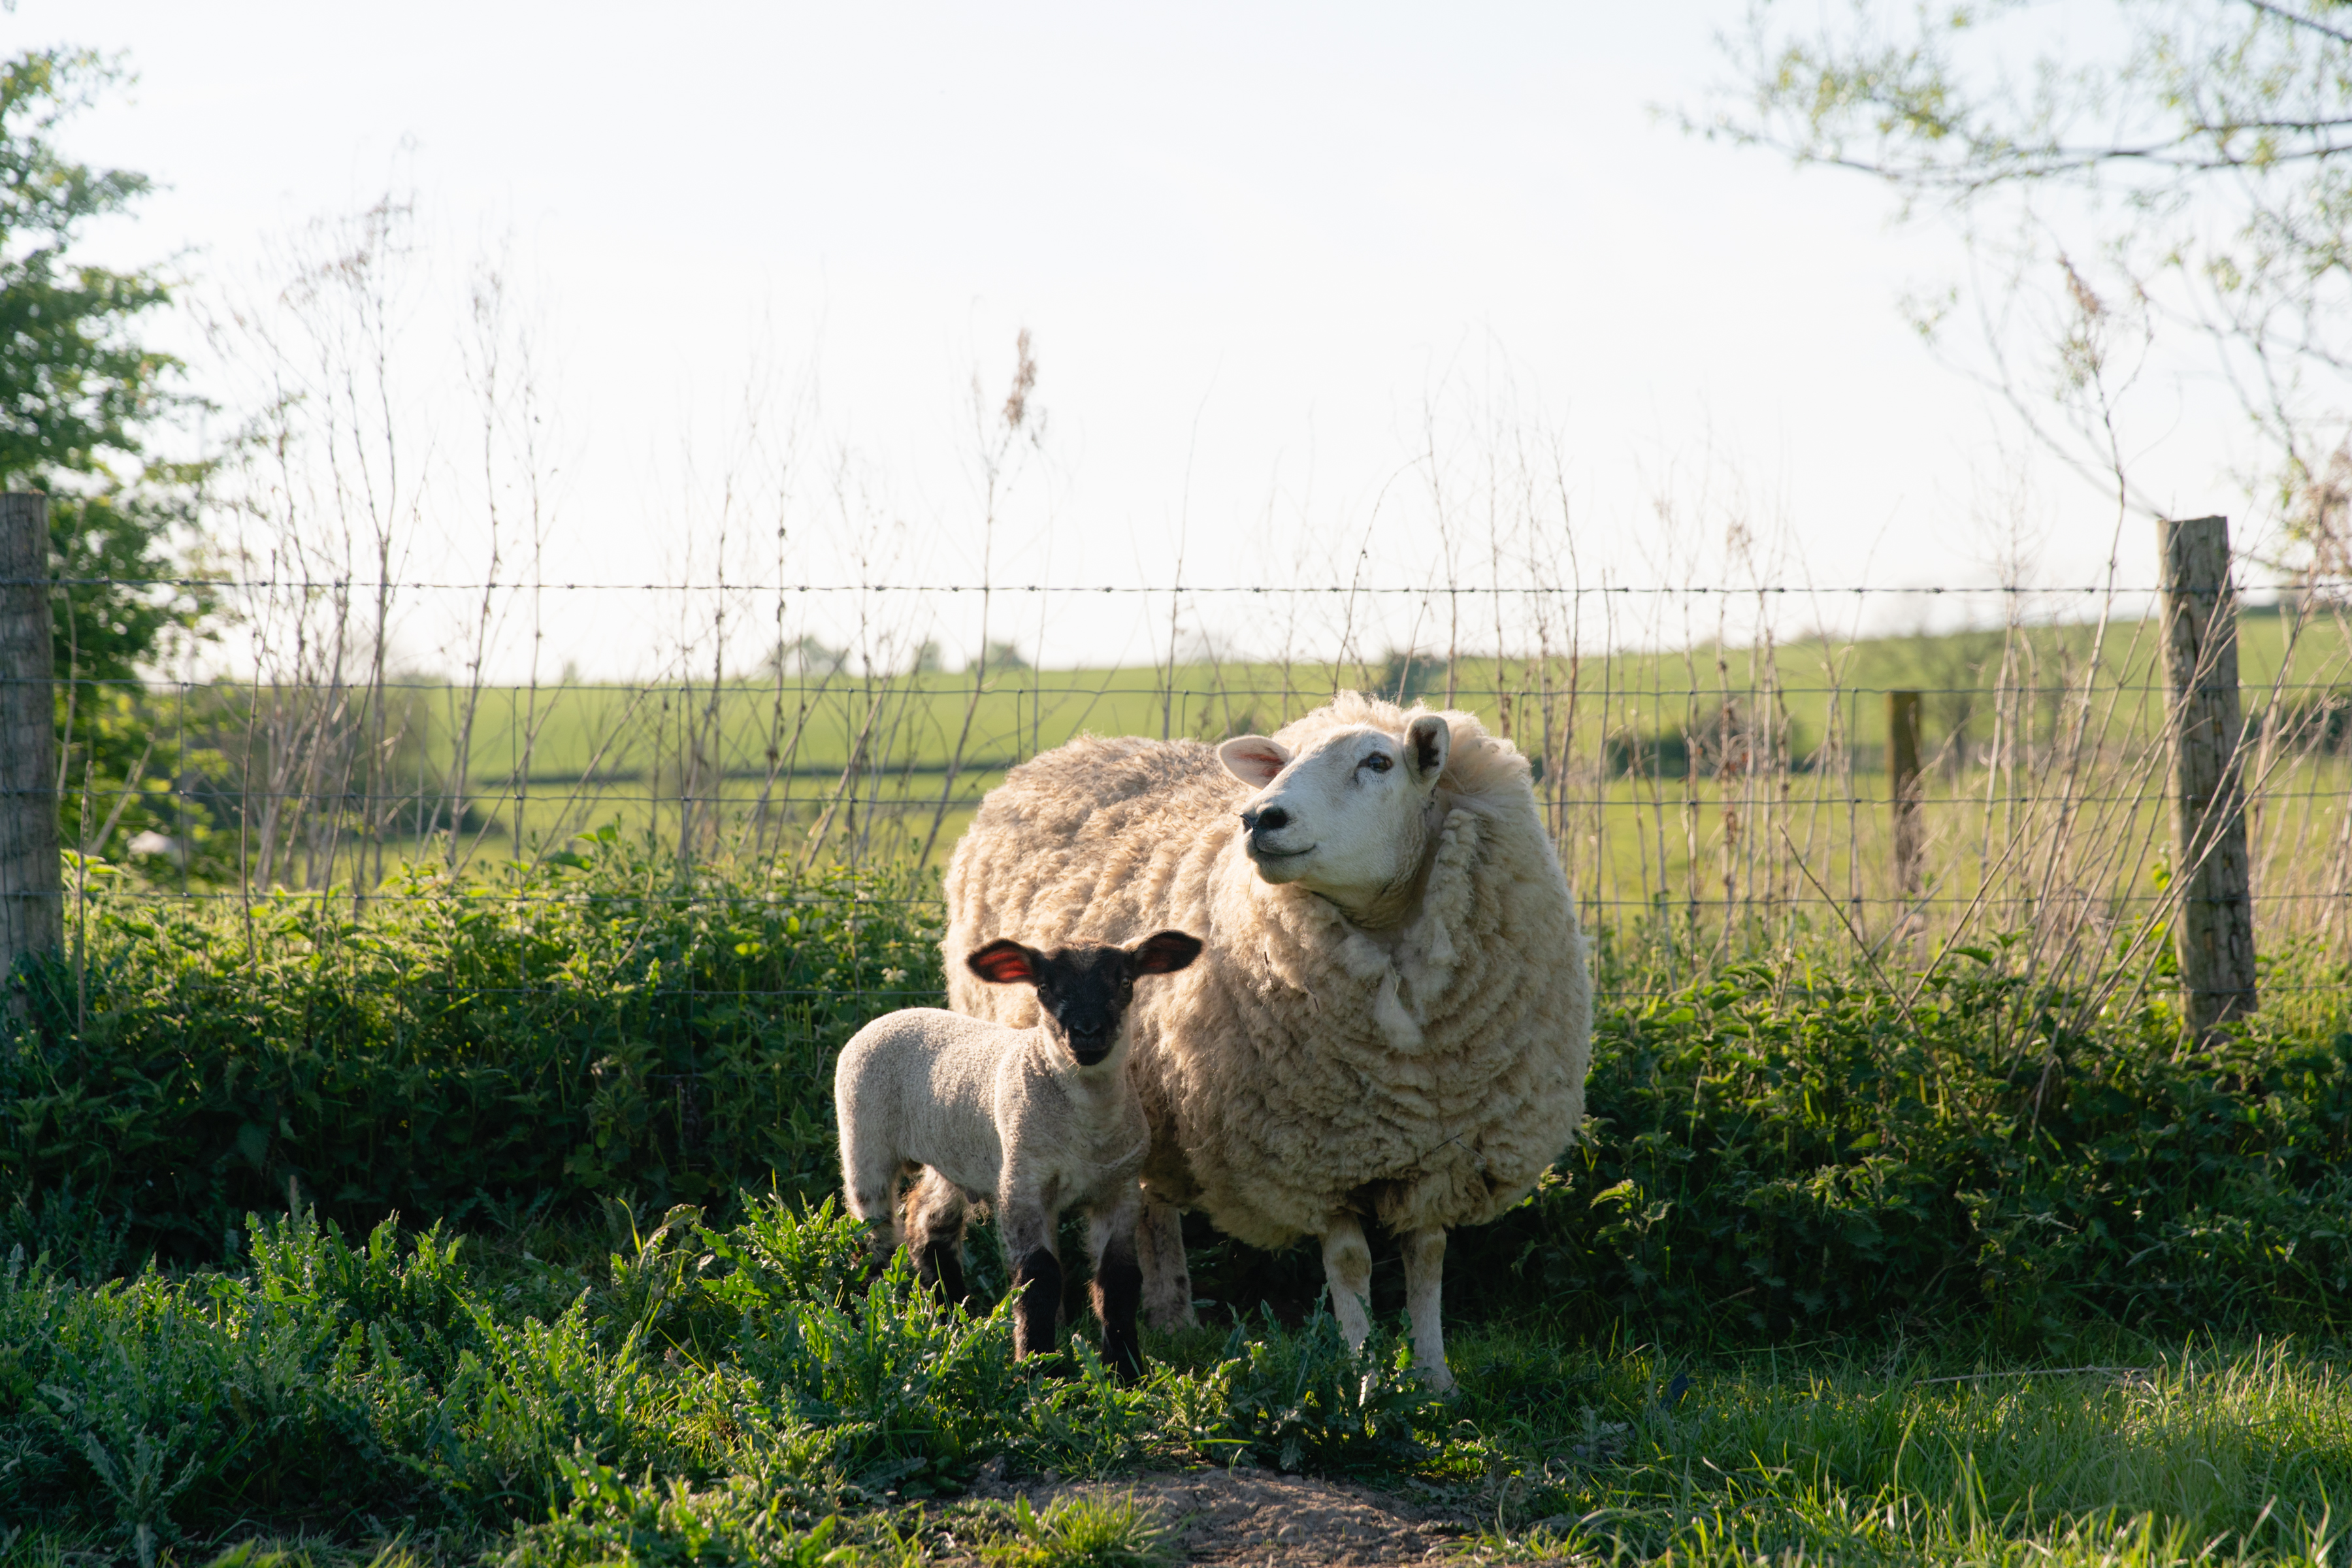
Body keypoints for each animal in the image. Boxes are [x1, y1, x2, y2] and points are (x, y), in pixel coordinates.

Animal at [832, 926, 1204, 1382]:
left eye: (1125, 983)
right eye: (1044, 988)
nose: (1087, 1032)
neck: (1087, 1129)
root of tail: (894, 1014)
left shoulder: (1120, 1189)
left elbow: (1118, 1279)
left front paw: (1125, 1371)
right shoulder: (1023, 1184)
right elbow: (1038, 1278)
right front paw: (1037, 1368)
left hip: (957, 1156)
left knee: (929, 1224)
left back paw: (951, 1317)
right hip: (863, 1141)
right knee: (875, 1238)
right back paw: (871, 1312)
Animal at [941, 691, 1599, 1392]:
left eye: (1378, 762)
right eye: (1284, 765)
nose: (1259, 817)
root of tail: (1062, 754)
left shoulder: (1440, 1156)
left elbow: (1426, 1258)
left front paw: (1435, 1379)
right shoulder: (1316, 1159)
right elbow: (1350, 1265)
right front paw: (1366, 1377)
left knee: (1148, 1203)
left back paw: (1174, 1317)